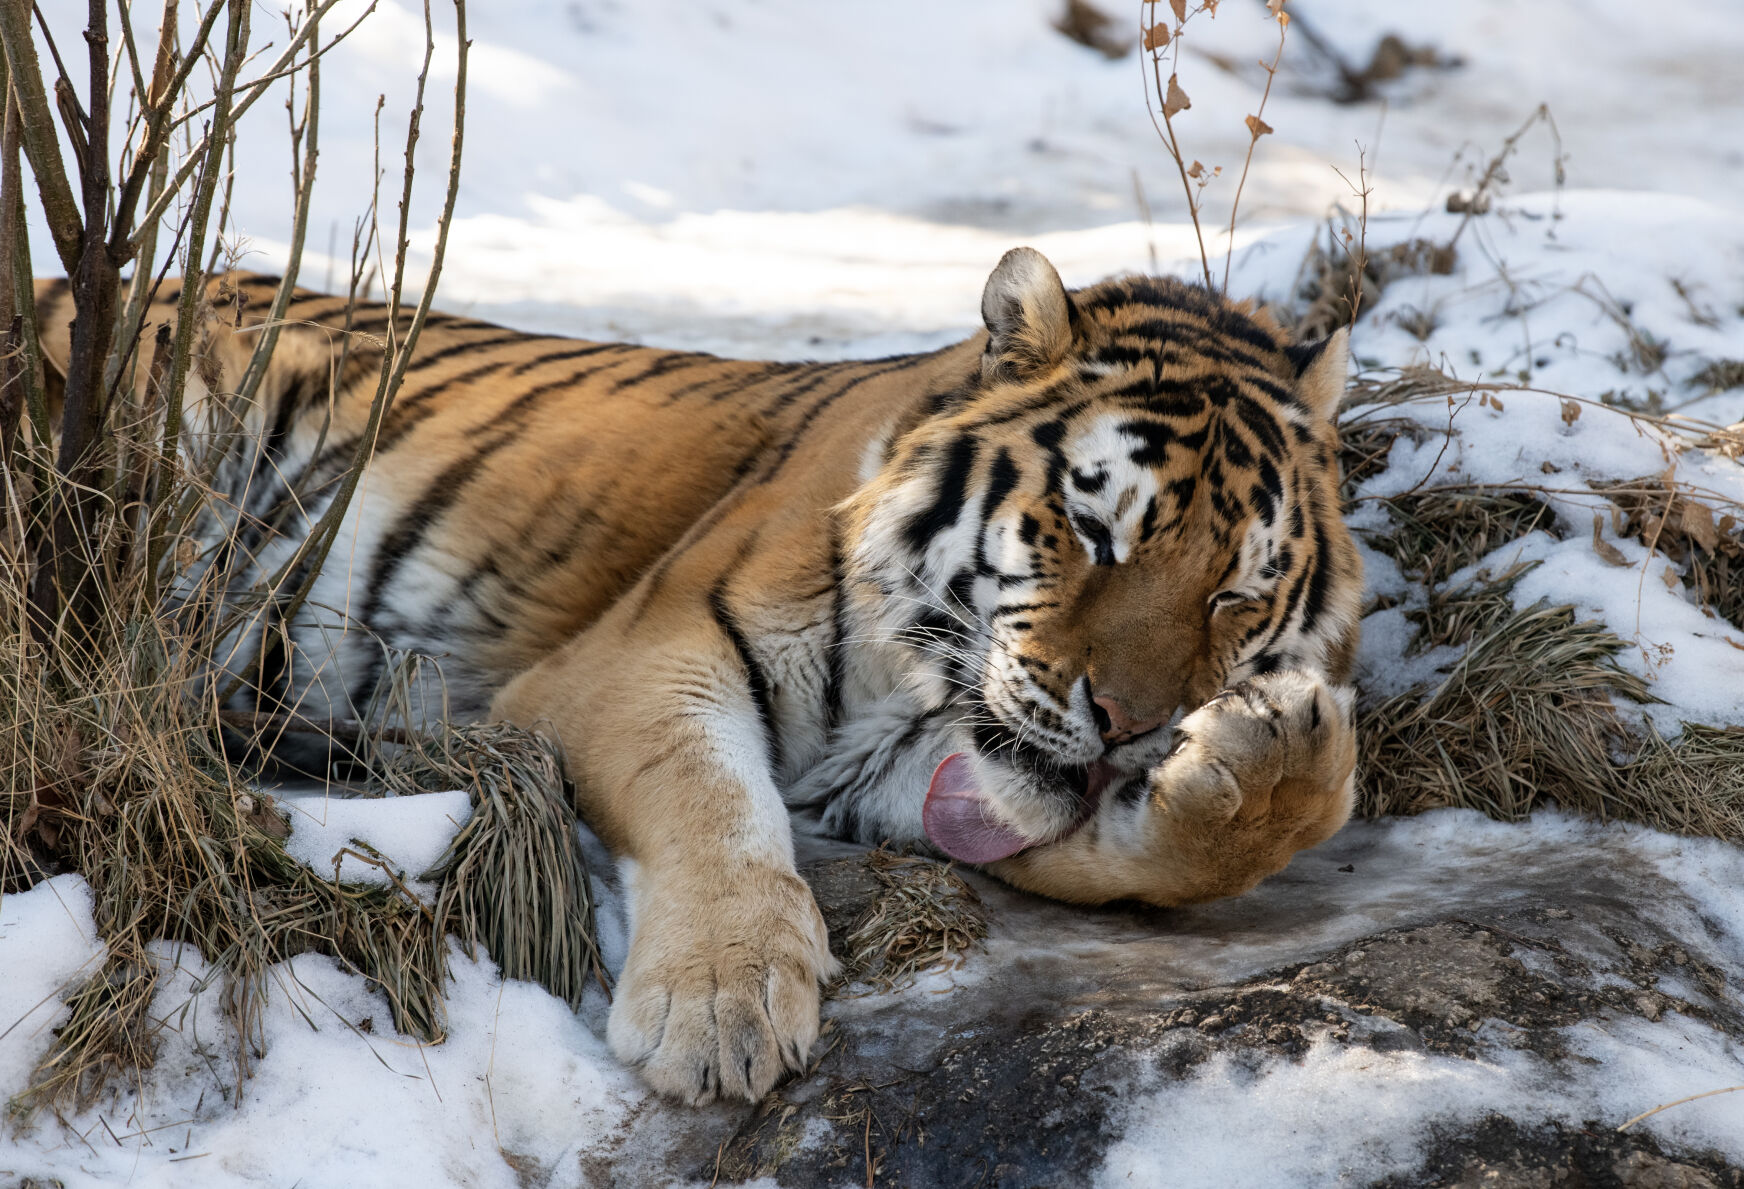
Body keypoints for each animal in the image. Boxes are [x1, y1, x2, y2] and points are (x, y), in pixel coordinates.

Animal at [30, 247, 1360, 1101]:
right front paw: (718, 1007)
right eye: (1095, 534)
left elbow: (1135, 850)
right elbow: (709, 796)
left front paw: (1270, 768)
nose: (1130, 721)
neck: (921, 684)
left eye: (1232, 592)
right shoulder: (638, 653)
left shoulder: (919, 775)